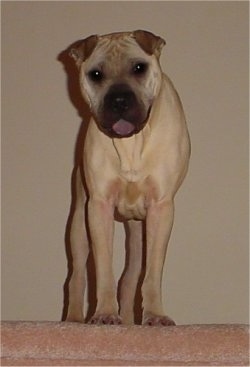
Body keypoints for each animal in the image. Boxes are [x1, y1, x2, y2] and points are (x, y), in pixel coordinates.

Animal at [65, 30, 190, 326]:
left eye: (139, 68)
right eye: (95, 74)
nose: (119, 100)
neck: (132, 142)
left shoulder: (161, 208)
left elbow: (152, 274)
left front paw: (155, 315)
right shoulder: (98, 206)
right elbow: (103, 270)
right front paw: (105, 313)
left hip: (137, 233)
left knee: (131, 279)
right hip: (78, 224)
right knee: (77, 275)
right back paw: (74, 319)